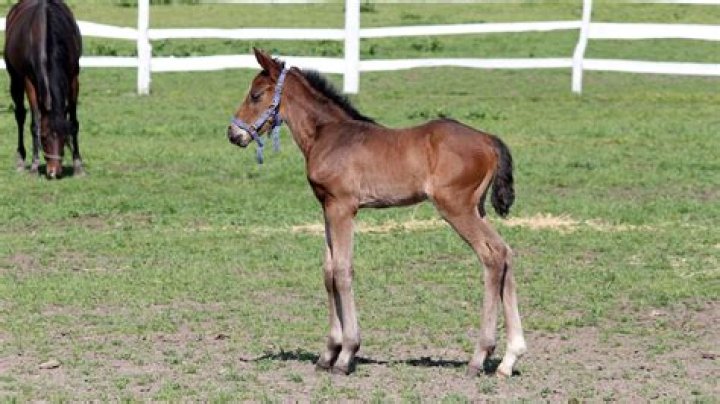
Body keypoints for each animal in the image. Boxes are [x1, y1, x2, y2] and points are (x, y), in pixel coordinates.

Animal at [4, 0, 84, 179]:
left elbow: (74, 122)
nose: (53, 172)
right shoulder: (29, 81)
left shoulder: (73, 77)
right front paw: (34, 165)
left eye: (64, 137)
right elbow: (35, 124)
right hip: (14, 77)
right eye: (44, 137)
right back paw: (21, 159)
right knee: (20, 115)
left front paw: (78, 165)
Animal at [227, 48, 526, 377]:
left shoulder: (343, 207)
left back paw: (480, 356)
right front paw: (328, 353)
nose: (233, 133)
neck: (328, 135)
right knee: (505, 252)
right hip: (477, 208)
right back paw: (509, 359)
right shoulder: (327, 207)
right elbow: (328, 272)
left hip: (456, 208)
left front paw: (346, 354)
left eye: (255, 95)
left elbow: (343, 271)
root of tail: (488, 140)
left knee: (492, 256)